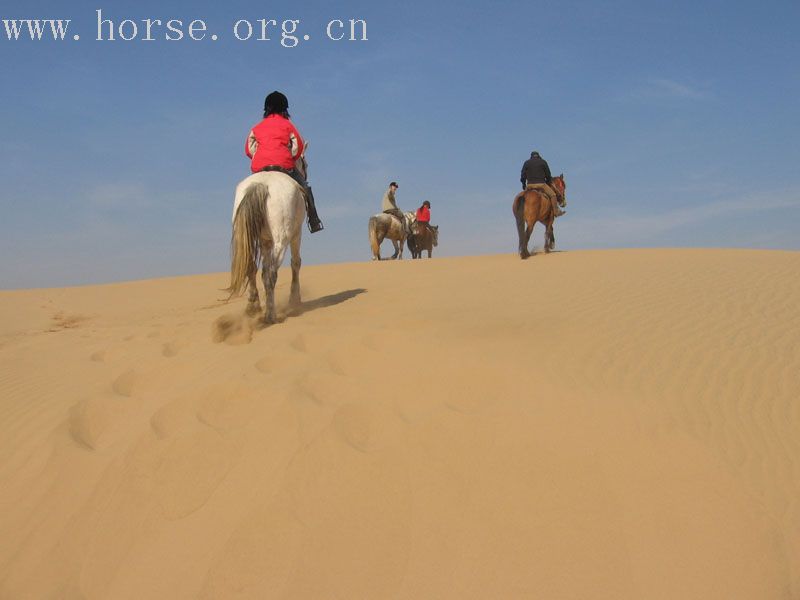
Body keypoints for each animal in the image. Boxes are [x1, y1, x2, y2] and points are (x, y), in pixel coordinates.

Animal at [228, 161, 310, 324]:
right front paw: (294, 299)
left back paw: (253, 306)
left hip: (245, 237)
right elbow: (296, 263)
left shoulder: (265, 241)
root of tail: (261, 184)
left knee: (251, 267)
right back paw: (270, 315)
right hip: (281, 240)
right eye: (305, 164)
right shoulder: (296, 233)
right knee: (270, 274)